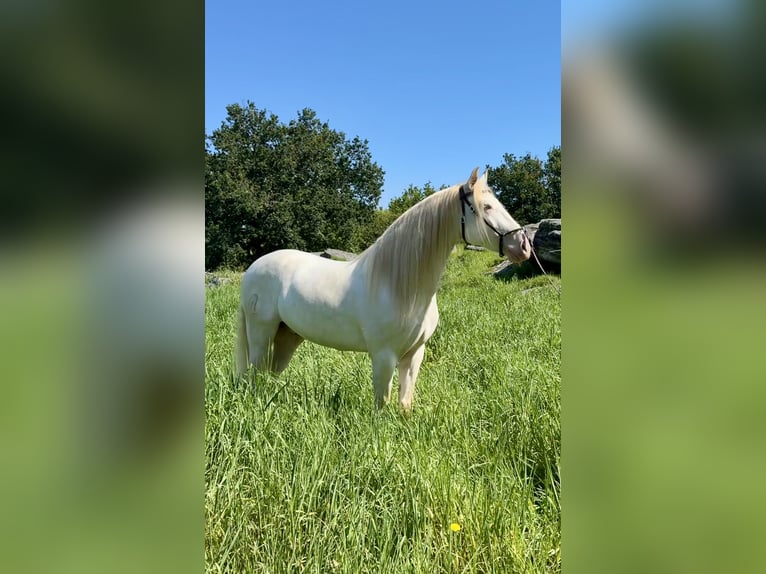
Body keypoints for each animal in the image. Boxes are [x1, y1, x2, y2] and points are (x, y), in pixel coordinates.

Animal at [237, 169, 532, 412]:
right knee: (254, 375)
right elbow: (382, 404)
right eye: (486, 206)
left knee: (269, 374)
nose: (523, 245)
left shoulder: (415, 354)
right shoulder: (384, 355)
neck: (398, 285)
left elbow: (404, 402)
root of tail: (253, 268)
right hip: (261, 333)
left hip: (288, 336)